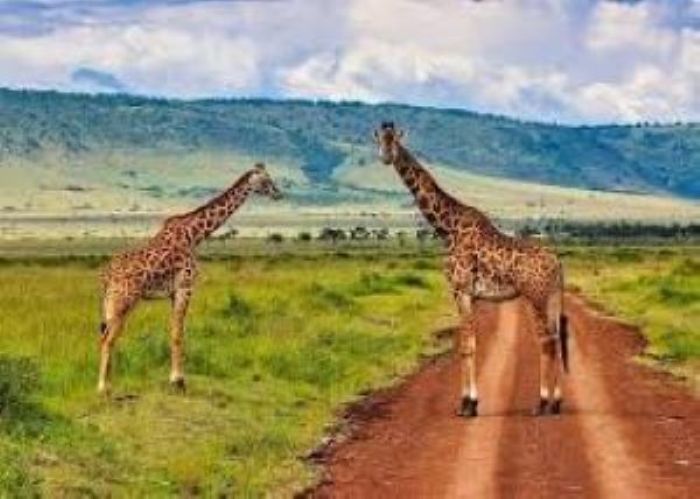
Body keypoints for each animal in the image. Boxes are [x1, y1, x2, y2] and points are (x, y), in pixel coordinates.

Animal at [97, 163, 282, 395]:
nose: (278, 194)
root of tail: (107, 276)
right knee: (108, 339)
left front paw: (176, 378)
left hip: (110, 303)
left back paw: (108, 384)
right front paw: (178, 380)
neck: (194, 235)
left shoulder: (173, 293)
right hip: (124, 301)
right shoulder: (185, 287)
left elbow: (174, 331)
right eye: (266, 179)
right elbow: (179, 333)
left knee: (104, 336)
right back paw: (103, 387)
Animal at [374, 122, 569, 417]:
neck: (447, 228)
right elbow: (472, 344)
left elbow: (466, 346)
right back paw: (556, 403)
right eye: (379, 140)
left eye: (395, 140)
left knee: (546, 341)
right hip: (553, 296)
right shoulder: (472, 295)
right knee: (556, 340)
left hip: (535, 296)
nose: (386, 157)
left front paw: (467, 405)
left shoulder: (460, 290)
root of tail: (557, 263)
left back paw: (542, 403)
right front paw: (470, 402)